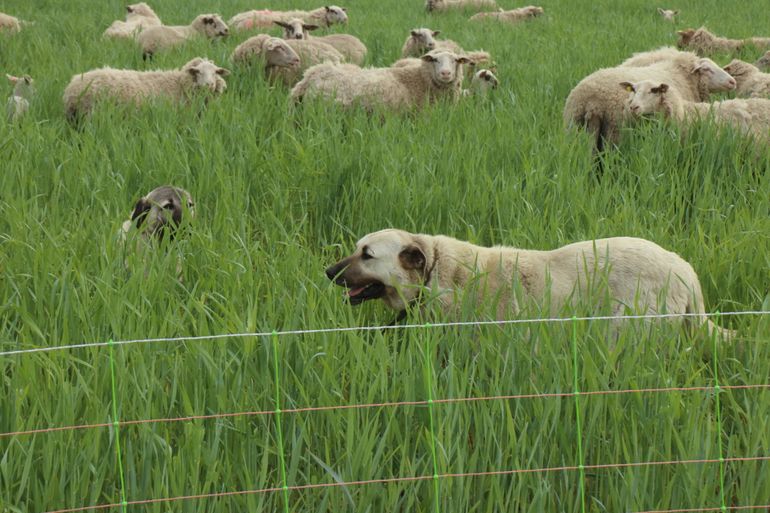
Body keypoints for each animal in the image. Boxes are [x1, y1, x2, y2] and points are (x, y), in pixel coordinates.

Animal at [560, 49, 736, 154]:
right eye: (707, 69)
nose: (732, 82)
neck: (681, 75)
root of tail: (592, 101)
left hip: (574, 128)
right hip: (615, 134)